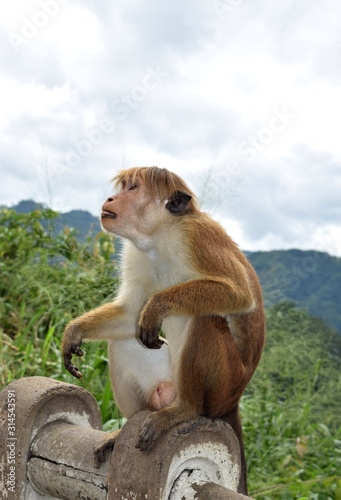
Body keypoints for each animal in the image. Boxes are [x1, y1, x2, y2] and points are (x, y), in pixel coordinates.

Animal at [61, 165, 264, 492]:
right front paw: (74, 331)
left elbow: (240, 295)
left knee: (204, 319)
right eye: (124, 188)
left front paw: (157, 305)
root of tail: (233, 401)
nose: (111, 198)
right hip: (165, 384)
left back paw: (185, 411)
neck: (161, 237)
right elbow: (131, 314)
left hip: (223, 385)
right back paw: (125, 430)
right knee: (125, 340)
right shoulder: (137, 254)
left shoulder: (197, 237)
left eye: (132, 188)